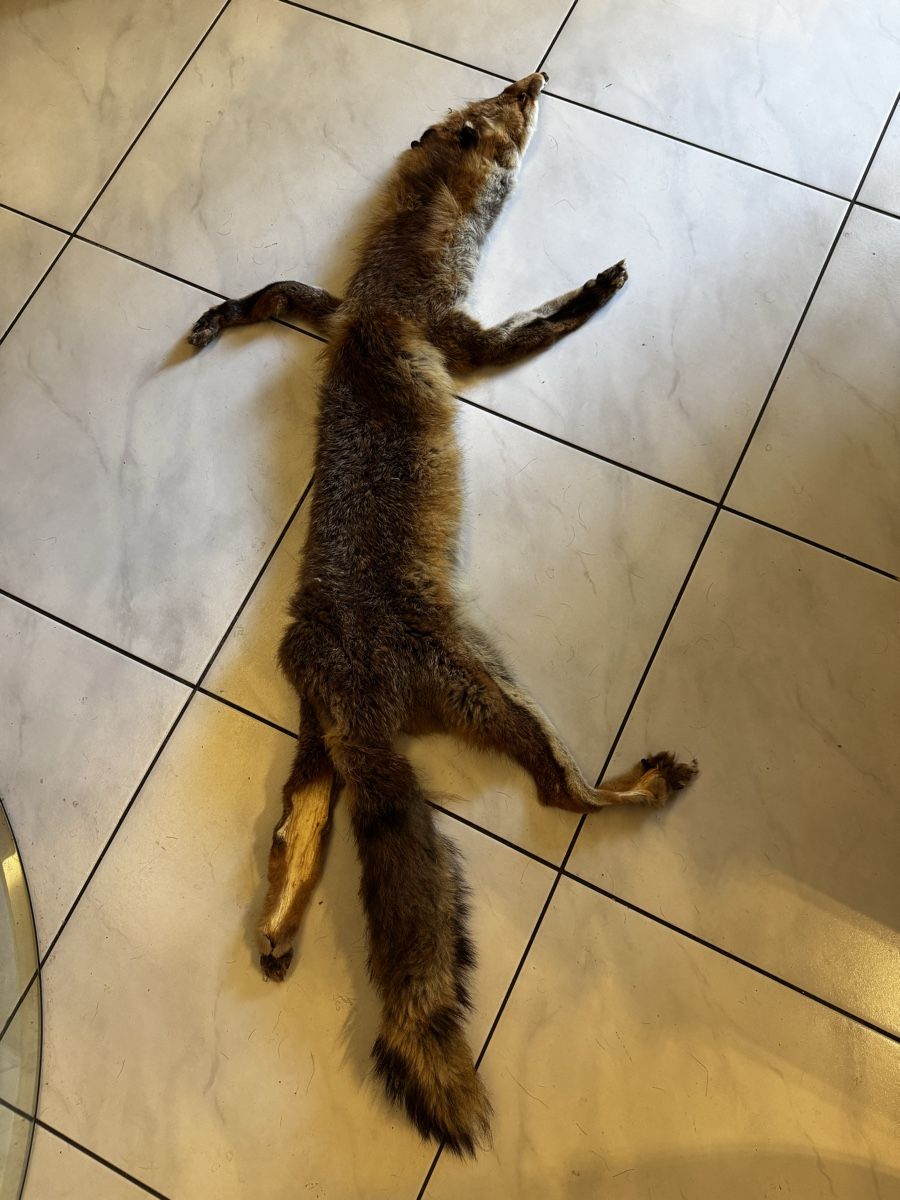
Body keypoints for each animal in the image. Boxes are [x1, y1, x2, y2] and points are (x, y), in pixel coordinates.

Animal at [188, 71, 697, 1156]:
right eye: (505, 110)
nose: (538, 75)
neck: (387, 288)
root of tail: (346, 684)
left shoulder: (330, 307)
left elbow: (276, 295)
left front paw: (220, 315)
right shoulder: (455, 335)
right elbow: (530, 330)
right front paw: (589, 293)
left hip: (318, 748)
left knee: (298, 827)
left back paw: (280, 924)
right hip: (488, 686)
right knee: (561, 795)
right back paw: (638, 781)